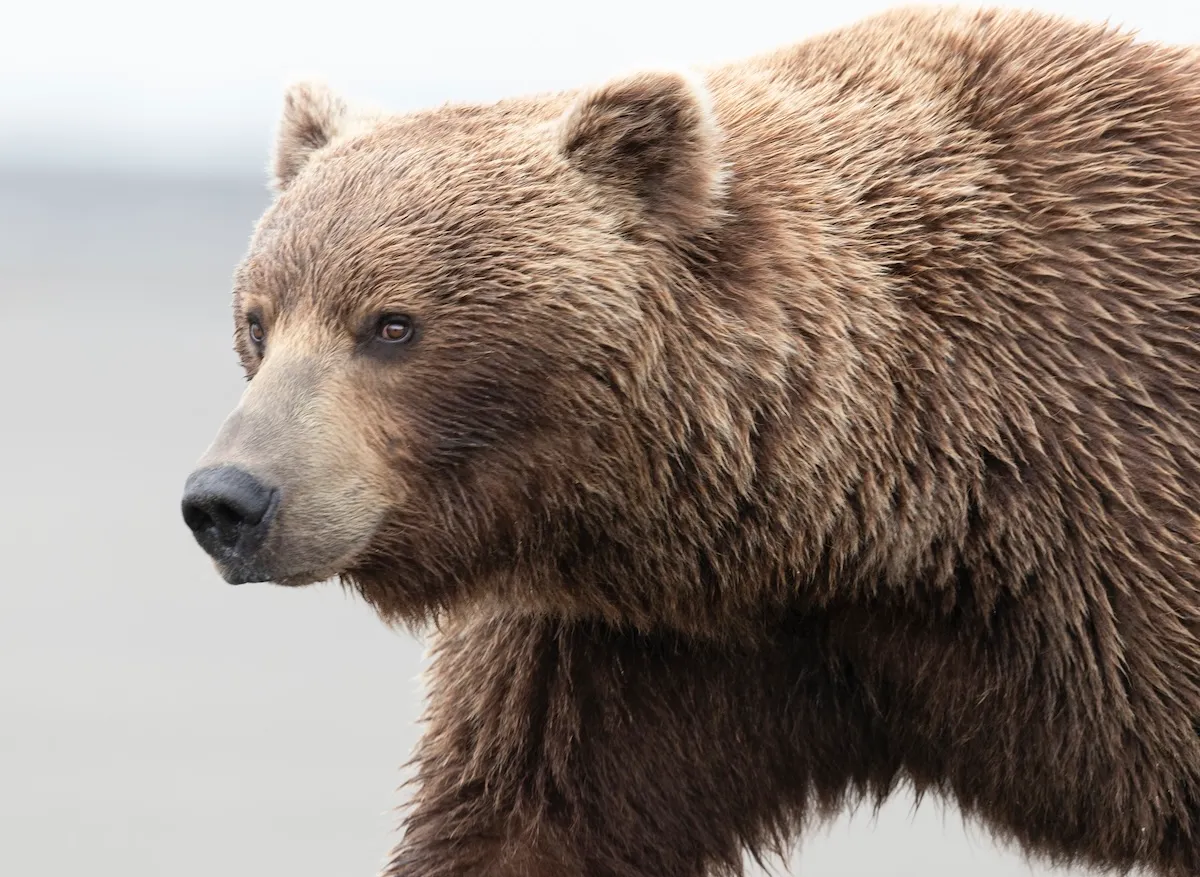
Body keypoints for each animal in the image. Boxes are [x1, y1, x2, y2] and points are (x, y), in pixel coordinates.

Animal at [180, 5, 1200, 876]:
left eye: (392, 325)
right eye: (259, 321)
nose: (228, 498)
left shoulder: (1121, 535)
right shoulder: (635, 644)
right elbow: (520, 817)